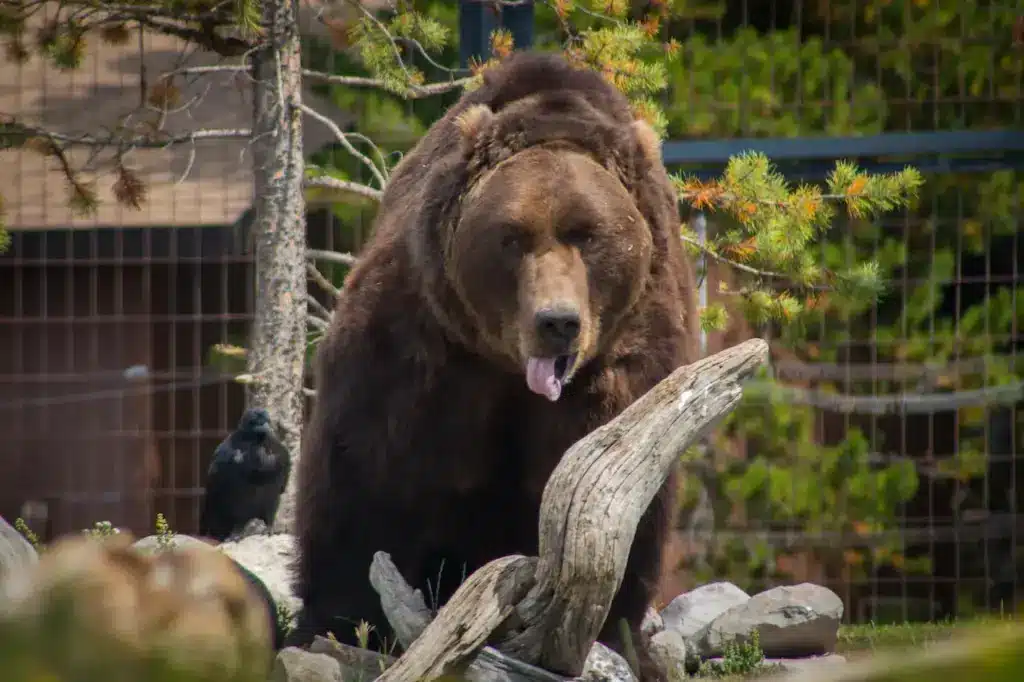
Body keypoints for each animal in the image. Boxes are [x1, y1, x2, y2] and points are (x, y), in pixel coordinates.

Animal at [288, 50, 704, 675]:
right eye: (512, 236)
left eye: (588, 234)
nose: (557, 321)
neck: (508, 373)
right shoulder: (423, 348)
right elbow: (367, 478)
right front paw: (339, 621)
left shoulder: (623, 370)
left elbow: (619, 502)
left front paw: (614, 632)